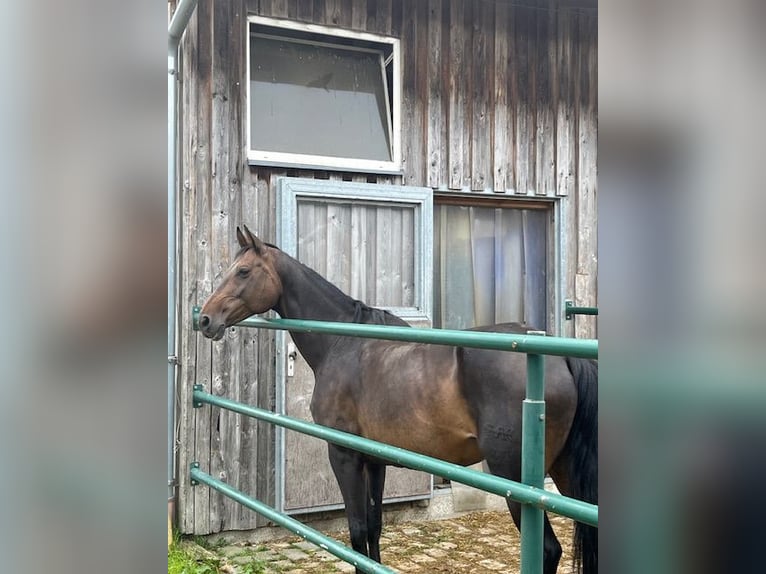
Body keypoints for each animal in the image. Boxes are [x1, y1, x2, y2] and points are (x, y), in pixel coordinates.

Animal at [200, 226, 600, 574]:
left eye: (243, 271)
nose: (205, 320)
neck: (343, 342)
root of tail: (562, 357)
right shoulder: (375, 460)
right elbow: (374, 528)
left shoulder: (344, 455)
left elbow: (357, 531)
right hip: (565, 474)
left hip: (515, 479)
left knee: (547, 550)